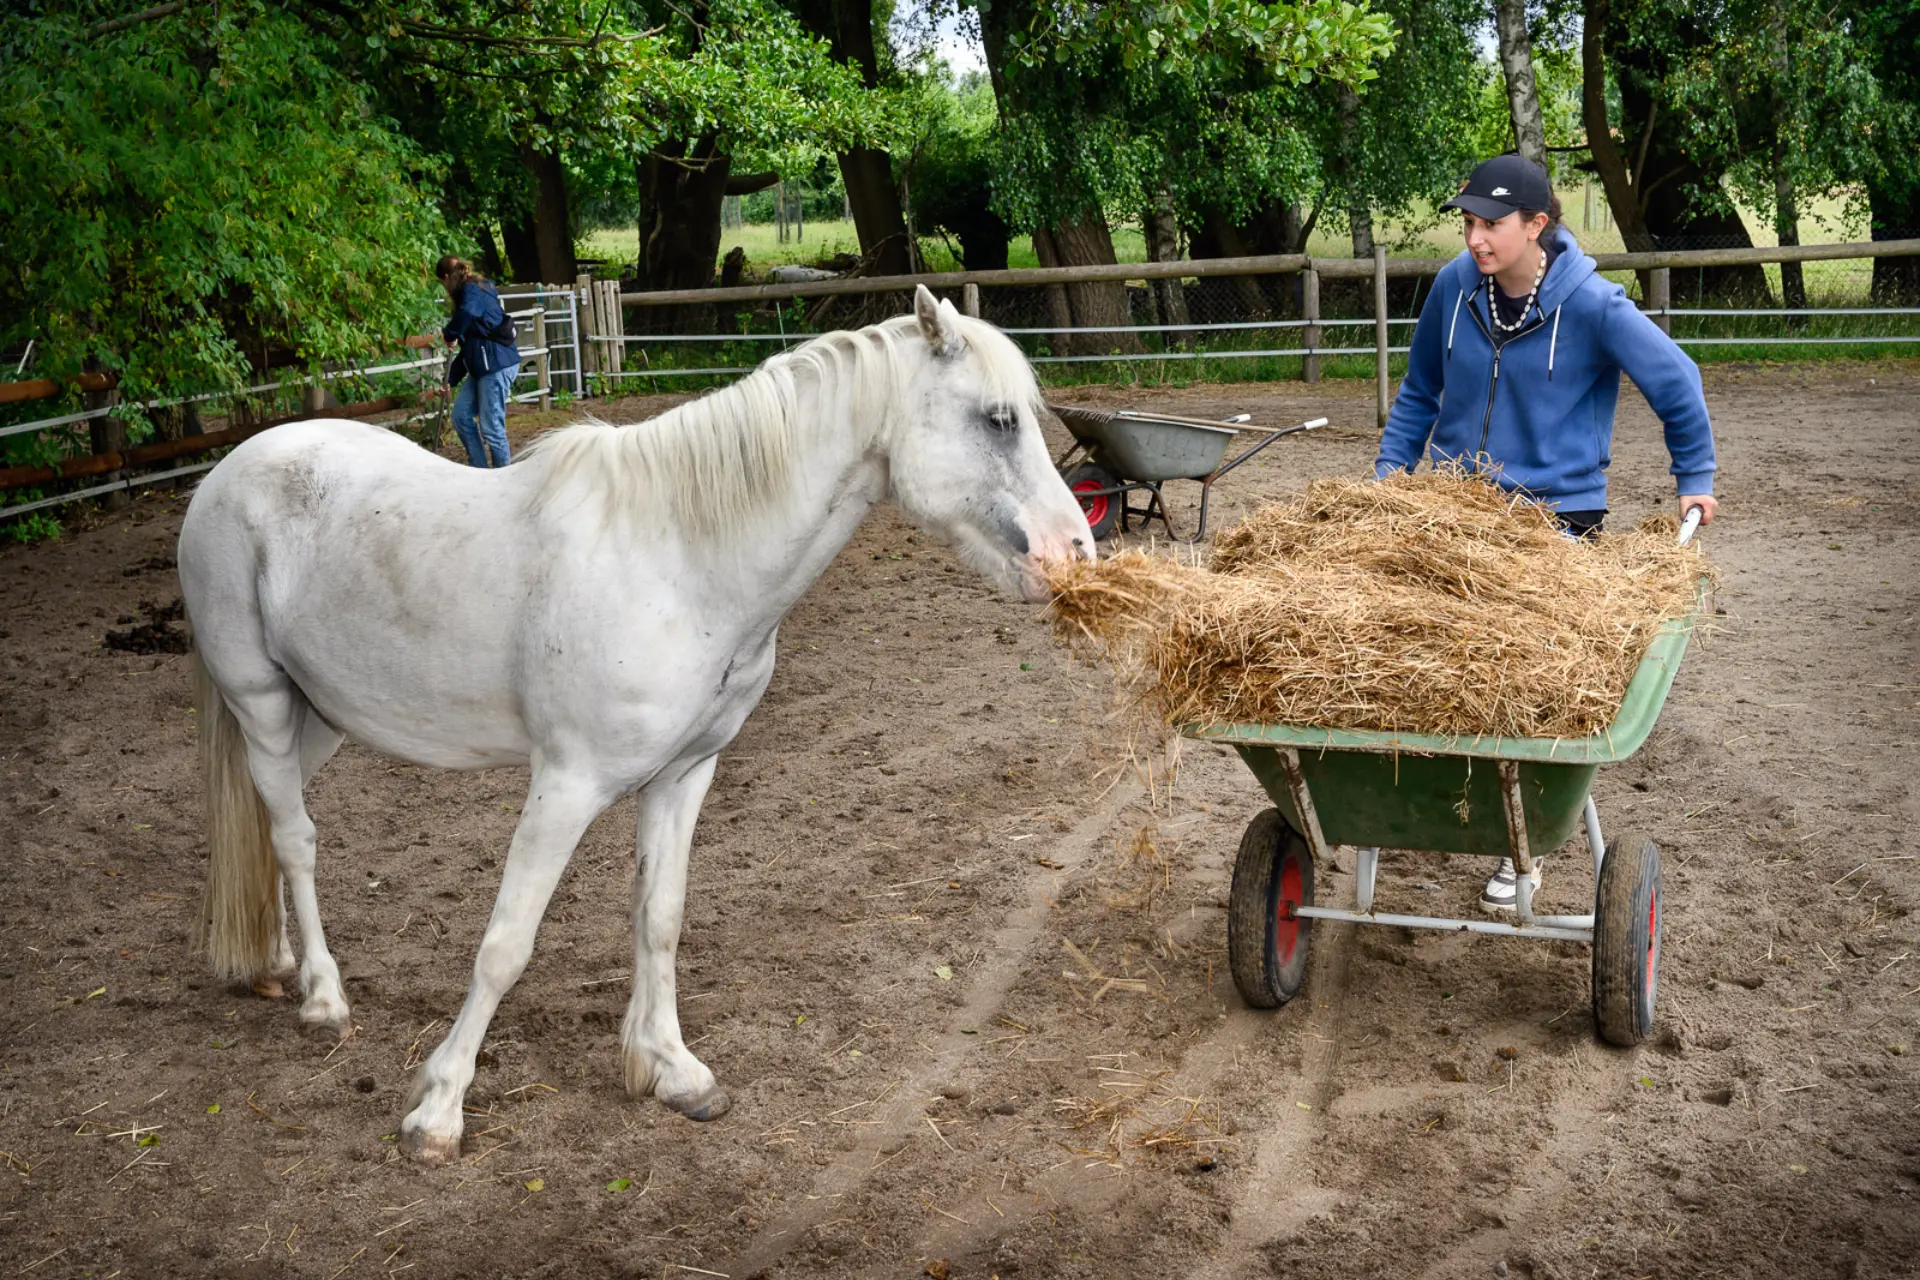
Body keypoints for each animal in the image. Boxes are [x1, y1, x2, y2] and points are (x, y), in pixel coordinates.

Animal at [177, 286, 1092, 1164]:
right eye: (998, 419)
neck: (680, 561)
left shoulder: (683, 775)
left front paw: (672, 1071)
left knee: (268, 821)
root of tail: (229, 473)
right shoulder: (565, 786)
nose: (1075, 554)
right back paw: (323, 996)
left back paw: (278, 966)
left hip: (319, 716)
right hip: (262, 702)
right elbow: (505, 944)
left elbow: (660, 918)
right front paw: (437, 1112)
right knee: (295, 837)